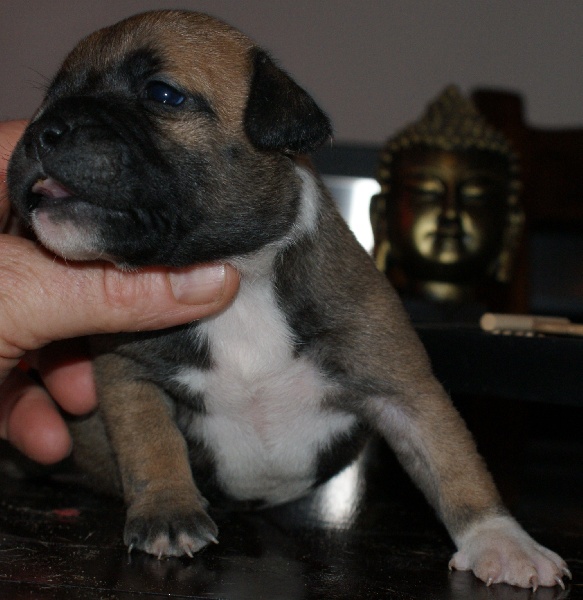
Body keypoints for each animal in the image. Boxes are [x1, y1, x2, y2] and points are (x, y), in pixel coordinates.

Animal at [7, 10, 569, 590]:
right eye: (50, 99)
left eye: (162, 94)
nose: (44, 130)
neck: (243, 277)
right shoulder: (129, 374)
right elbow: (150, 443)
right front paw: (168, 511)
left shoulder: (402, 386)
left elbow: (453, 460)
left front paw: (501, 540)